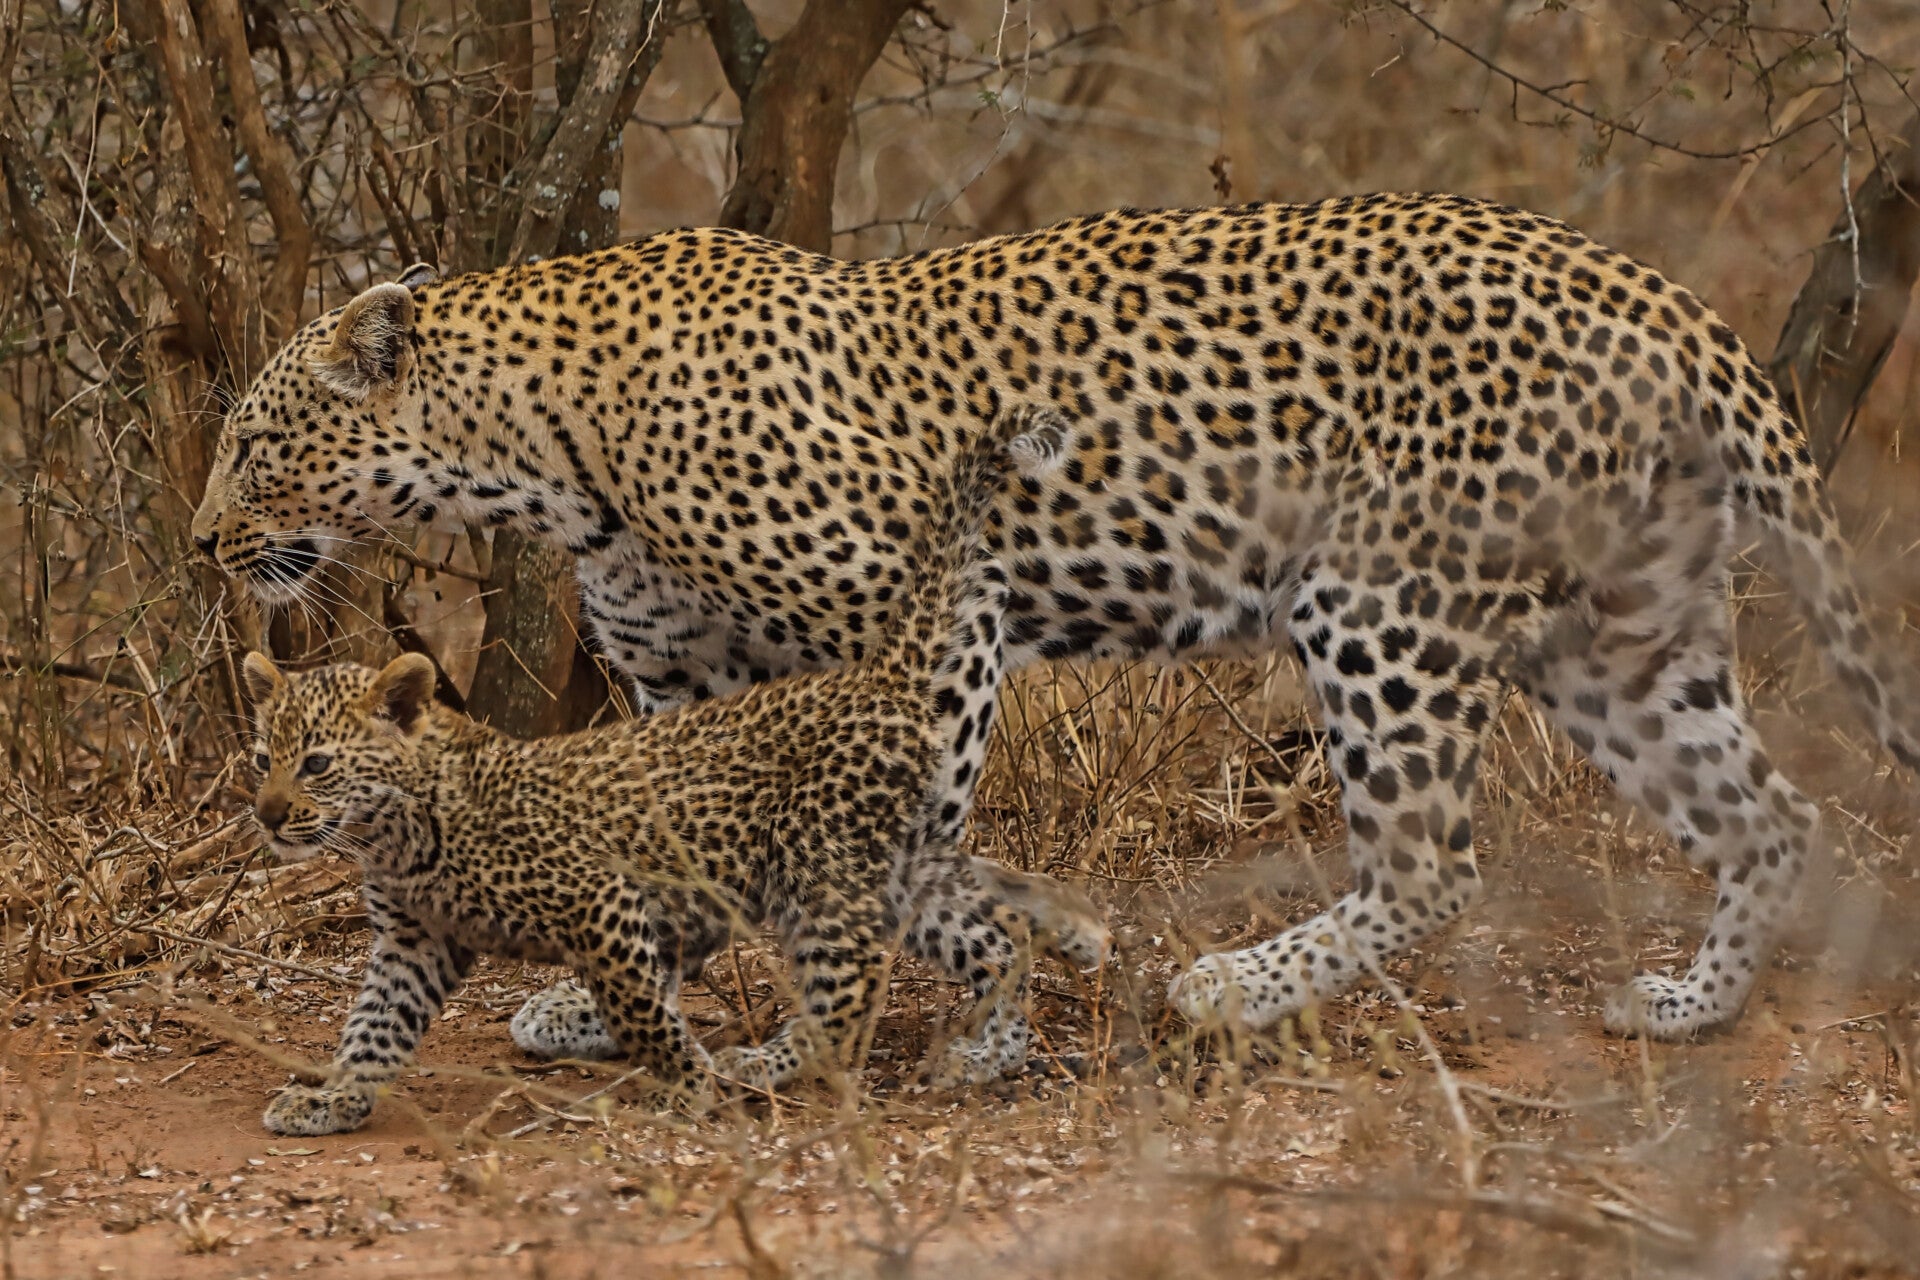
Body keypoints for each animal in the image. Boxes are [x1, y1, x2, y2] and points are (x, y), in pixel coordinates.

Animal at [193, 191, 1920, 1047]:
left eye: (258, 440)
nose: (206, 539)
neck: (549, 461)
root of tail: (1660, 292)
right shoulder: (684, 678)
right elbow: (677, 843)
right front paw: (599, 995)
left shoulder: (916, 615)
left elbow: (906, 825)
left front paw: (942, 972)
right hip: (1616, 636)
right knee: (1771, 817)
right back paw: (1692, 1011)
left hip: (1382, 599)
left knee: (1438, 860)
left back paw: (1231, 991)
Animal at [243, 404, 1071, 1137]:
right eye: (262, 759)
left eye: (316, 763)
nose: (268, 814)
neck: (396, 837)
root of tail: (880, 678)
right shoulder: (411, 944)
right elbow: (373, 1029)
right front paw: (332, 1099)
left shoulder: (601, 904)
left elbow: (641, 1011)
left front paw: (688, 1085)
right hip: (896, 864)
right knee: (996, 932)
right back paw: (992, 1048)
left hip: (822, 867)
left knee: (850, 988)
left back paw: (766, 1065)